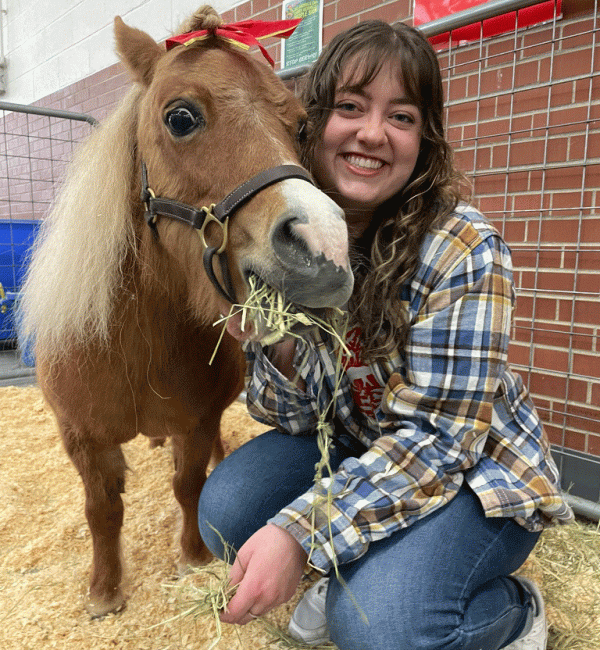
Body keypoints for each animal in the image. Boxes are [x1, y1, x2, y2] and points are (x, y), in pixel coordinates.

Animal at [18, 7, 352, 616]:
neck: (134, 346)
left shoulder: (195, 424)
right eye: (180, 118)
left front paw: (193, 558)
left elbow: (191, 486)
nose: (325, 248)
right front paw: (105, 591)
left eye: (300, 127)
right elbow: (102, 510)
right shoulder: (81, 438)